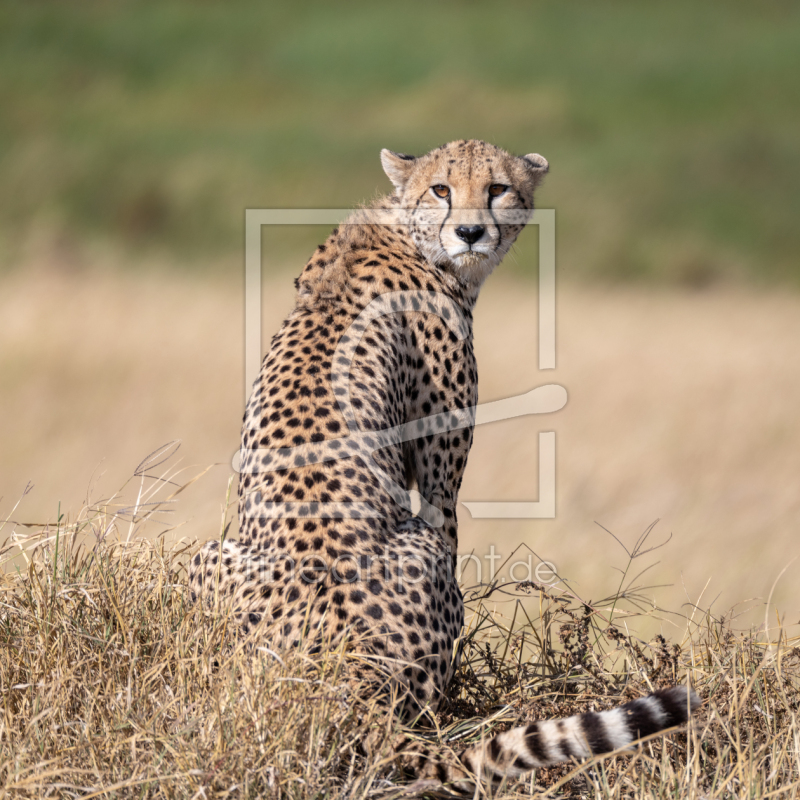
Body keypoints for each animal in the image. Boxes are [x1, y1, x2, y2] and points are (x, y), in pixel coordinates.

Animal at [189, 141, 700, 792]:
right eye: (441, 189)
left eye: (498, 188)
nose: (471, 231)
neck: (411, 237)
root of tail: (348, 680)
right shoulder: (437, 476)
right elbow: (450, 521)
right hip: (413, 563)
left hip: (208, 555)